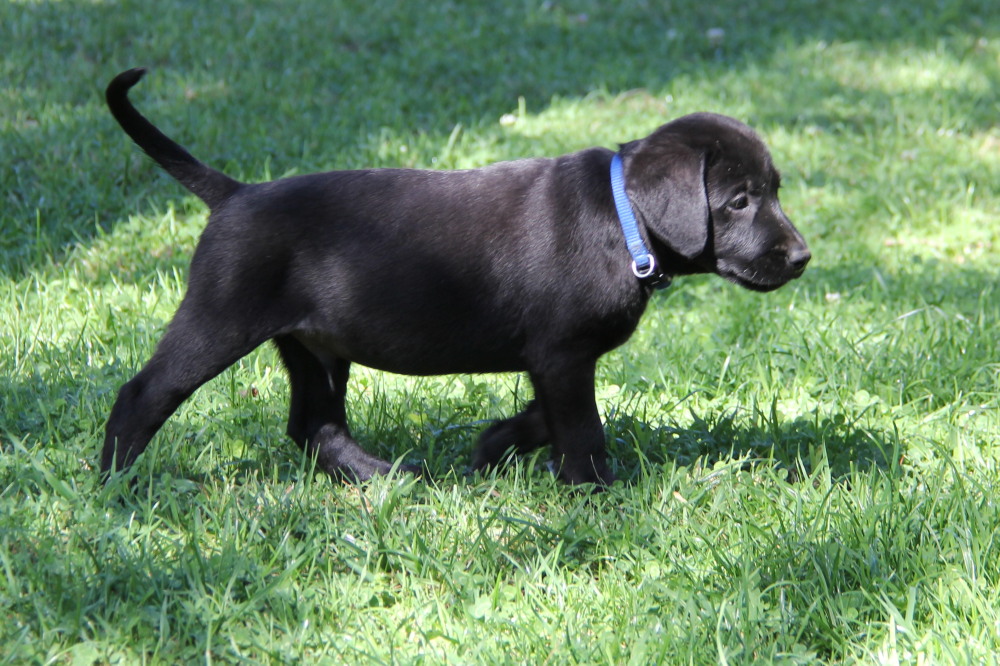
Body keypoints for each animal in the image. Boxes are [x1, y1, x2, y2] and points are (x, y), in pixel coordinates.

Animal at [99, 68, 804, 482]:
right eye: (739, 200)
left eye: (772, 190)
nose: (801, 257)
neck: (623, 218)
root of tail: (236, 194)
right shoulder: (563, 355)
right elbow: (582, 429)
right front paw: (596, 493)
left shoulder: (552, 360)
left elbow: (545, 417)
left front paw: (492, 447)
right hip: (219, 319)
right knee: (142, 395)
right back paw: (116, 485)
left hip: (315, 346)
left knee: (313, 427)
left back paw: (385, 478)